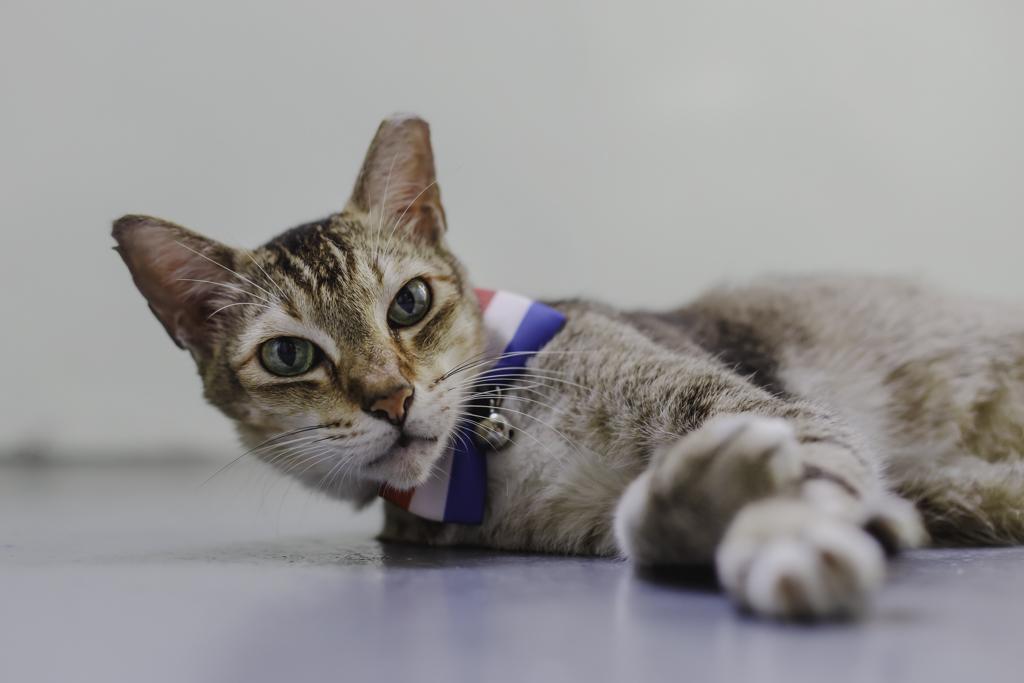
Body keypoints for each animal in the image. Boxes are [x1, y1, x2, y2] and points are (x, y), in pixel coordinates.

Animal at [112, 116, 1024, 618]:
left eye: (409, 303)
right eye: (290, 354)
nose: (391, 397)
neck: (490, 446)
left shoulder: (751, 403)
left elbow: (817, 469)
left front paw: (784, 535)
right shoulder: (578, 525)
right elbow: (643, 527)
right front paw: (698, 506)